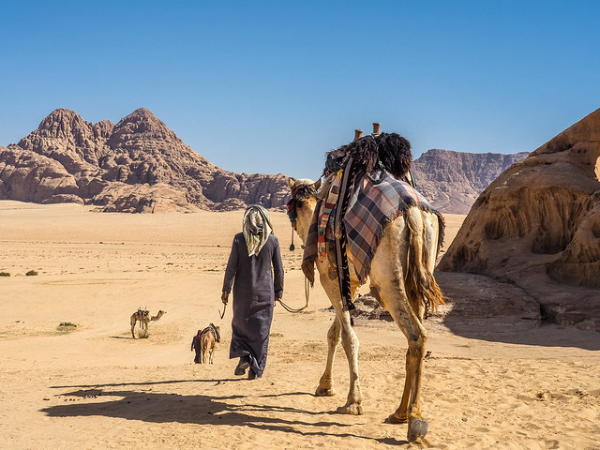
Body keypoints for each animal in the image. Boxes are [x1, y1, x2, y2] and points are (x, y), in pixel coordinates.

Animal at [286, 125, 446, 442]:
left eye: (292, 207)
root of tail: (413, 212)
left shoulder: (330, 275)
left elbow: (348, 336)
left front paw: (353, 401)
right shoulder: (352, 281)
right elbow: (334, 332)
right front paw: (325, 386)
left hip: (388, 279)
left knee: (416, 335)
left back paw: (413, 420)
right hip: (419, 270)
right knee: (415, 337)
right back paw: (400, 412)